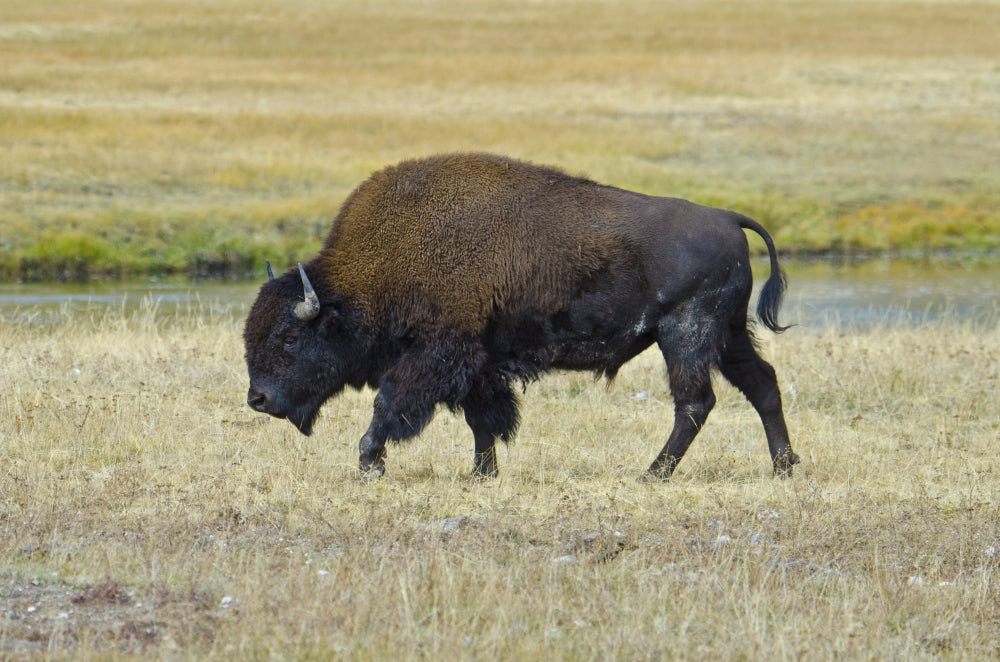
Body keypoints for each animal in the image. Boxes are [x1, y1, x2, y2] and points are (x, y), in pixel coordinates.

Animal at [244, 153, 799, 480]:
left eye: (290, 339)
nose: (258, 399)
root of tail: (727, 218)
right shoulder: (478, 364)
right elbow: (482, 419)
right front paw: (482, 473)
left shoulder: (439, 355)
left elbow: (391, 404)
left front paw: (368, 461)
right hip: (728, 335)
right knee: (762, 383)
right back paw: (784, 466)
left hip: (685, 335)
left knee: (695, 402)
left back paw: (652, 474)